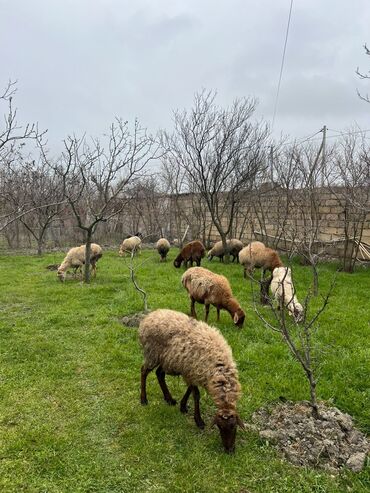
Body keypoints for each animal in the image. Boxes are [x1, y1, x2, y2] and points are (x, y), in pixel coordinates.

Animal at [139, 310, 246, 452]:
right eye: (220, 427)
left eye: (234, 426)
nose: (229, 450)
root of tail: (149, 317)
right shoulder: (192, 372)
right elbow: (196, 395)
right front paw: (198, 420)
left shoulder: (192, 372)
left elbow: (190, 390)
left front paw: (183, 406)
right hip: (152, 353)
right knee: (144, 371)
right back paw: (144, 399)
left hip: (167, 359)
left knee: (159, 374)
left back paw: (169, 399)